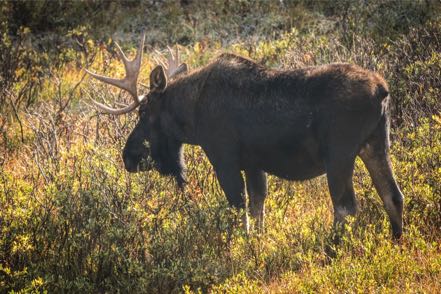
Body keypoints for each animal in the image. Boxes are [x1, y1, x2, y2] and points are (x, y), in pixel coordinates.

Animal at [84, 34, 404, 238]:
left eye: (144, 111)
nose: (128, 156)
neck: (191, 117)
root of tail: (382, 90)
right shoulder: (254, 164)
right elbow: (258, 209)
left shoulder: (224, 159)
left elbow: (240, 213)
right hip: (376, 144)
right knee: (393, 195)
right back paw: (396, 241)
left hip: (340, 154)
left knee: (345, 207)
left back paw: (330, 249)